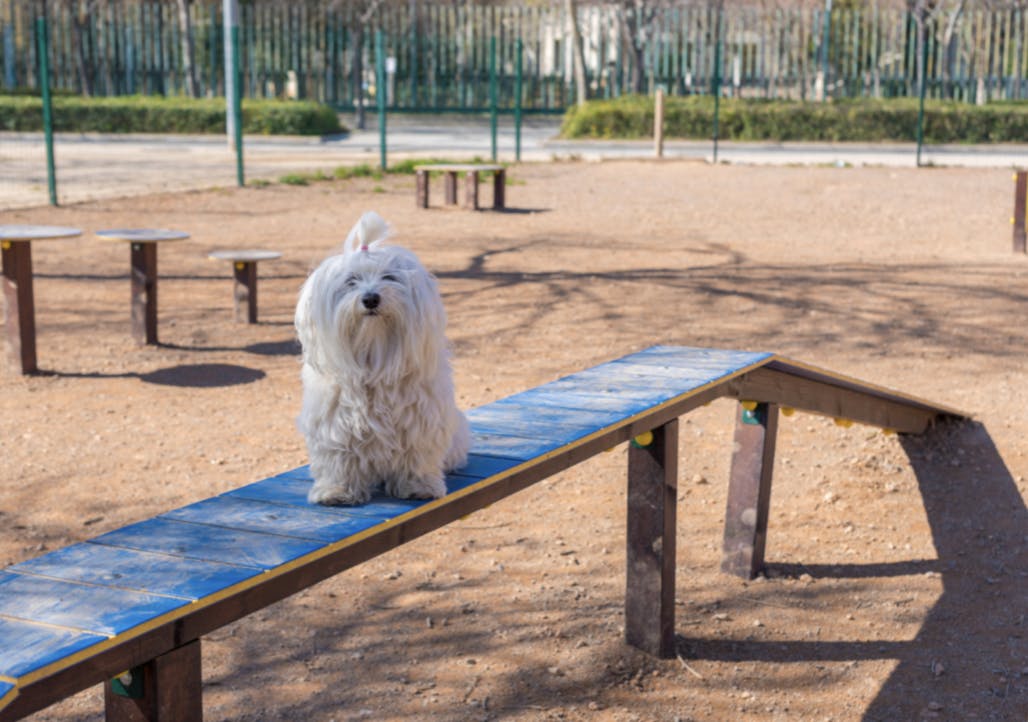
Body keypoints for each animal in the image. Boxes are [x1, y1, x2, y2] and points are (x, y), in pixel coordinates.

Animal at [296, 209, 470, 506]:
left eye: (389, 277)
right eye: (351, 281)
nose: (370, 299)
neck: (374, 355)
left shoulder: (419, 424)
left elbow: (416, 456)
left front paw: (418, 486)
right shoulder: (335, 424)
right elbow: (339, 458)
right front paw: (337, 490)